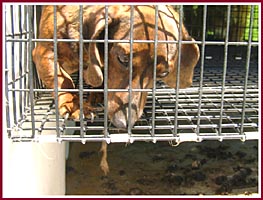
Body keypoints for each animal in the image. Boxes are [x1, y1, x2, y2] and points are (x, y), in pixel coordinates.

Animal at [32, 5, 200, 174]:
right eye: (123, 58)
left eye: (163, 73)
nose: (123, 123)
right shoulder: (44, 52)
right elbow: (63, 80)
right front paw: (75, 105)